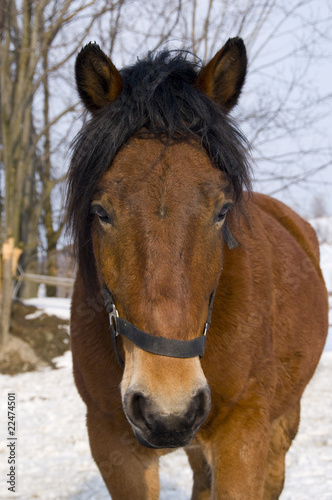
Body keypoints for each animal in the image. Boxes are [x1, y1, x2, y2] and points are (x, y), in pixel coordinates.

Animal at [66, 39, 328, 500]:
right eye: (101, 212)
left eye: (222, 211)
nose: (168, 409)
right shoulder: (113, 444)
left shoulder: (243, 435)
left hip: (283, 421)